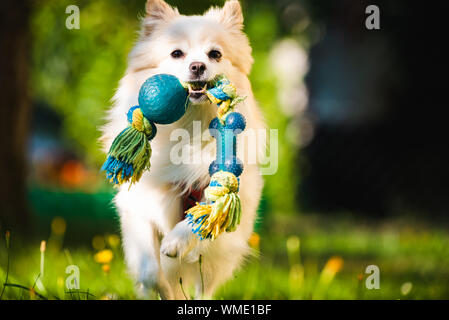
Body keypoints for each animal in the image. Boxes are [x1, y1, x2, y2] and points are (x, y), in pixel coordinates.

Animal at [100, 0, 264, 300]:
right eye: (177, 53)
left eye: (215, 54)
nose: (198, 66)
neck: (189, 125)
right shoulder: (140, 206)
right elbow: (150, 272)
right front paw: (163, 289)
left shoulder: (218, 188)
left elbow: (207, 210)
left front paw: (175, 242)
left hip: (215, 260)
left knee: (204, 287)